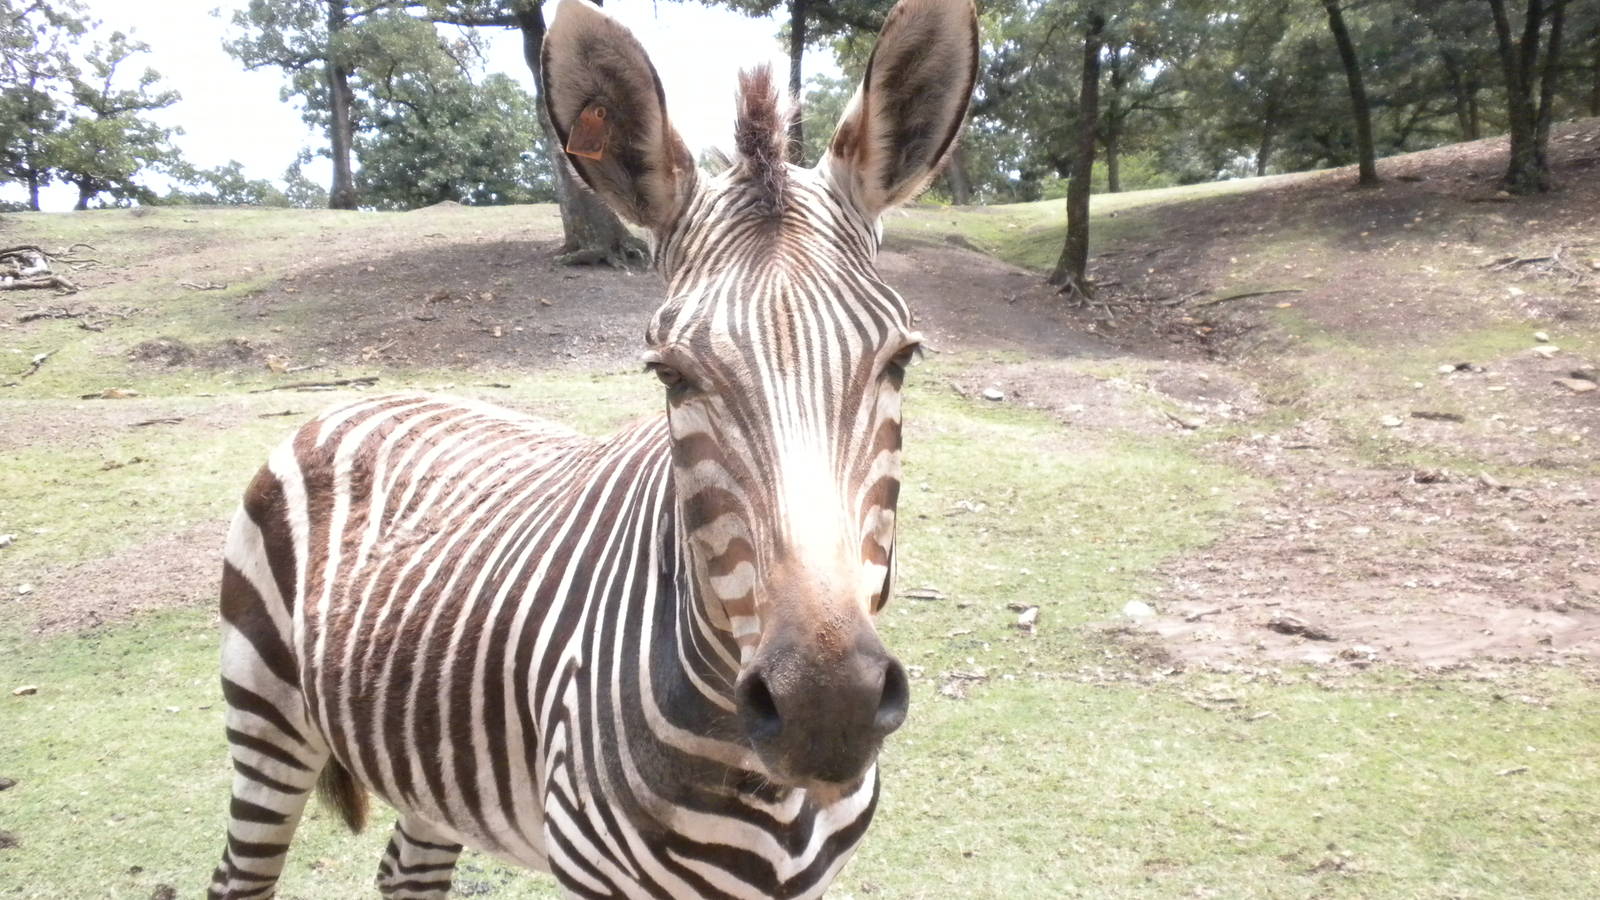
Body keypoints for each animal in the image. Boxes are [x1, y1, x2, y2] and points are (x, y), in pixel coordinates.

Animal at [206, 0, 977, 896]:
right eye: (671, 375)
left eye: (901, 361)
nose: (827, 708)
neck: (764, 787)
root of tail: (366, 394)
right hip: (266, 718)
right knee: (240, 870)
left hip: (432, 766)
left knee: (408, 870)